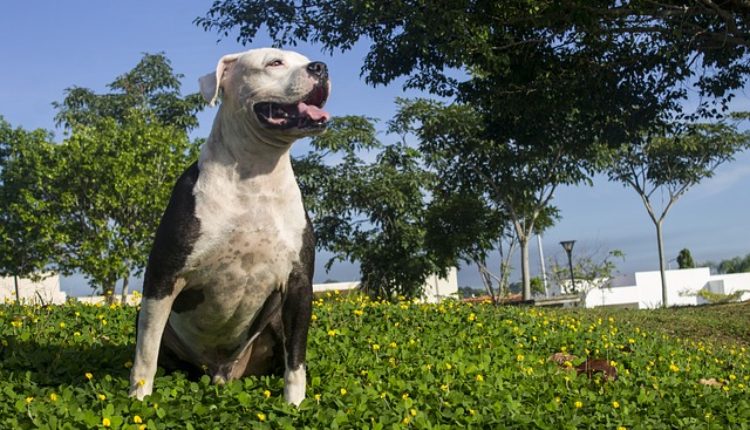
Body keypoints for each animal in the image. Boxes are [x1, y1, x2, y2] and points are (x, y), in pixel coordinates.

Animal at [130, 47, 332, 406]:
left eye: (305, 58)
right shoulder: (163, 276)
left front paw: (294, 405)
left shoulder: (298, 285)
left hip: (273, 322)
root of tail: (222, 371)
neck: (256, 175)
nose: (320, 68)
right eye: (274, 62)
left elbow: (296, 360)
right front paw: (137, 400)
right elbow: (146, 353)